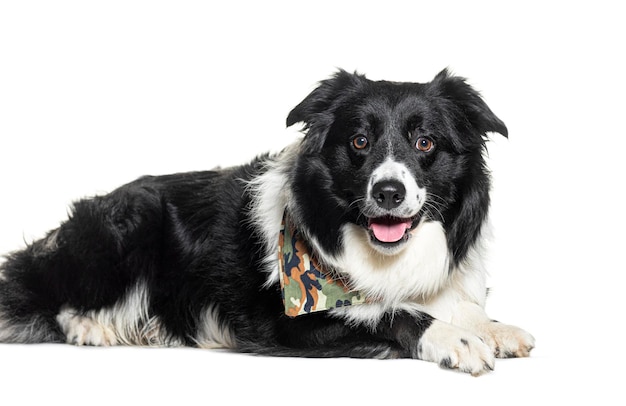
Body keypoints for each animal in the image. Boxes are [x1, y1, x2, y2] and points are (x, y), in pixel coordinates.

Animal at [0, 69, 532, 374]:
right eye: (359, 141)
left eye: (426, 143)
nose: (388, 192)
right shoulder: (287, 322)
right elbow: (390, 312)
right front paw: (454, 338)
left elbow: (459, 304)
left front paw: (494, 328)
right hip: (125, 231)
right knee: (52, 298)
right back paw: (93, 328)